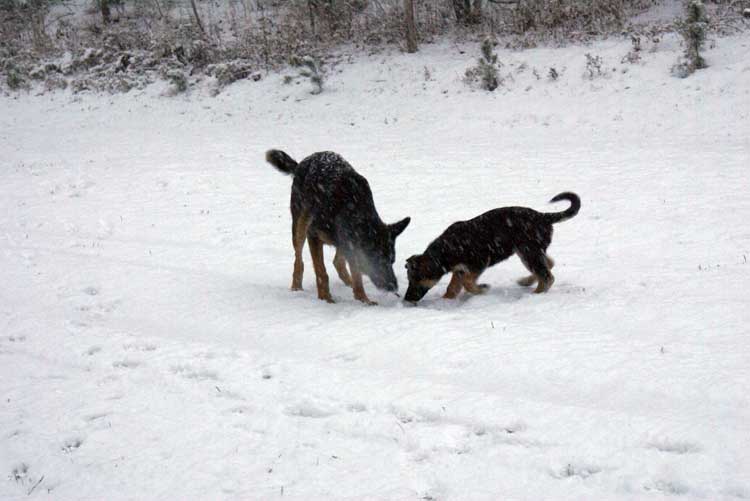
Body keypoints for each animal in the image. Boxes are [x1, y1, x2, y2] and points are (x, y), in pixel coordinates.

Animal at [268, 148, 414, 304]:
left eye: (392, 261)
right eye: (377, 261)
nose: (394, 287)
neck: (351, 207)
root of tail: (302, 162)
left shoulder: (348, 243)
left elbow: (356, 273)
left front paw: (363, 299)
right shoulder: (314, 235)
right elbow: (321, 272)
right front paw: (325, 298)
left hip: (339, 240)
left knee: (337, 261)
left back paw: (349, 283)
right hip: (299, 227)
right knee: (298, 259)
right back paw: (296, 287)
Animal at [406, 192, 580, 302]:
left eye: (415, 280)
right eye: (409, 280)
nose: (406, 300)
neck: (444, 252)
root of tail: (543, 216)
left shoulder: (479, 263)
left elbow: (468, 284)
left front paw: (483, 289)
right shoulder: (460, 270)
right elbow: (452, 288)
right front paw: (446, 301)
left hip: (528, 252)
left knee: (547, 277)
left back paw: (535, 295)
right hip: (528, 252)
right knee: (548, 264)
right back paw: (526, 281)